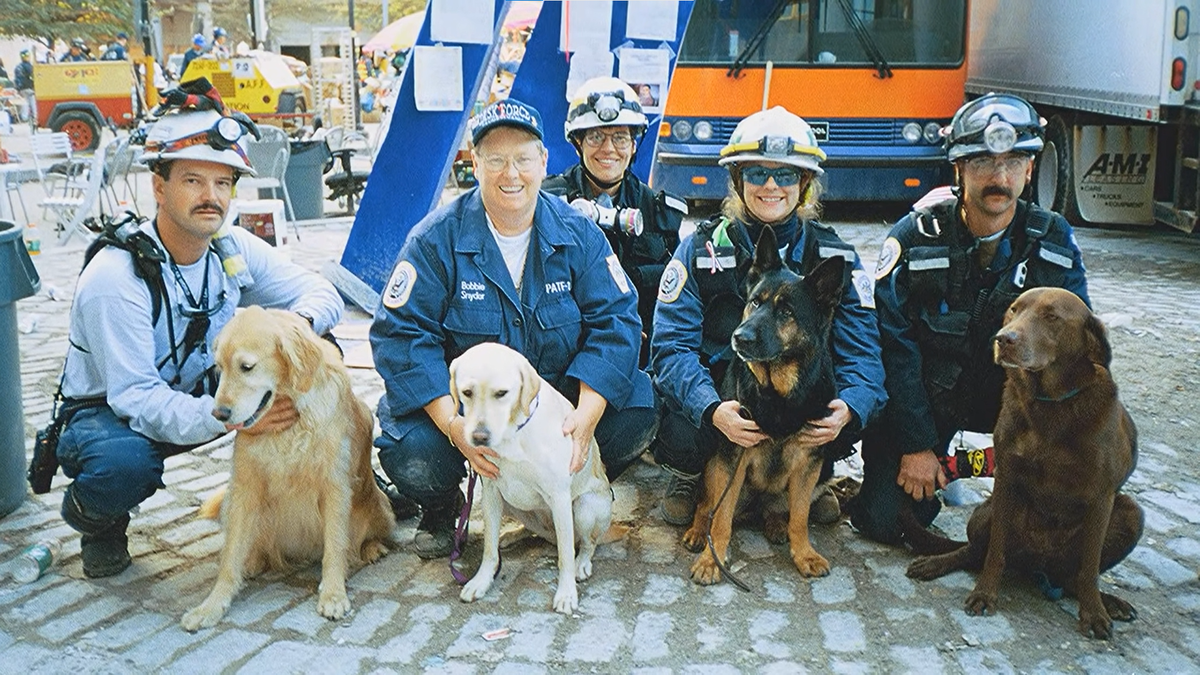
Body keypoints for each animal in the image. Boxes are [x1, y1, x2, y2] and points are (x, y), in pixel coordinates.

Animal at [681, 227, 849, 583]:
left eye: (786, 311)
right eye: (755, 302)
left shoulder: (808, 465)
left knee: (779, 511)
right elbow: (721, 520)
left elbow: (800, 518)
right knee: (707, 507)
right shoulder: (732, 459)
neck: (778, 394)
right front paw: (711, 560)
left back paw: (775, 525)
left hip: (816, 475)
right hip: (715, 466)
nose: (739, 337)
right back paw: (698, 531)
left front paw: (803, 554)